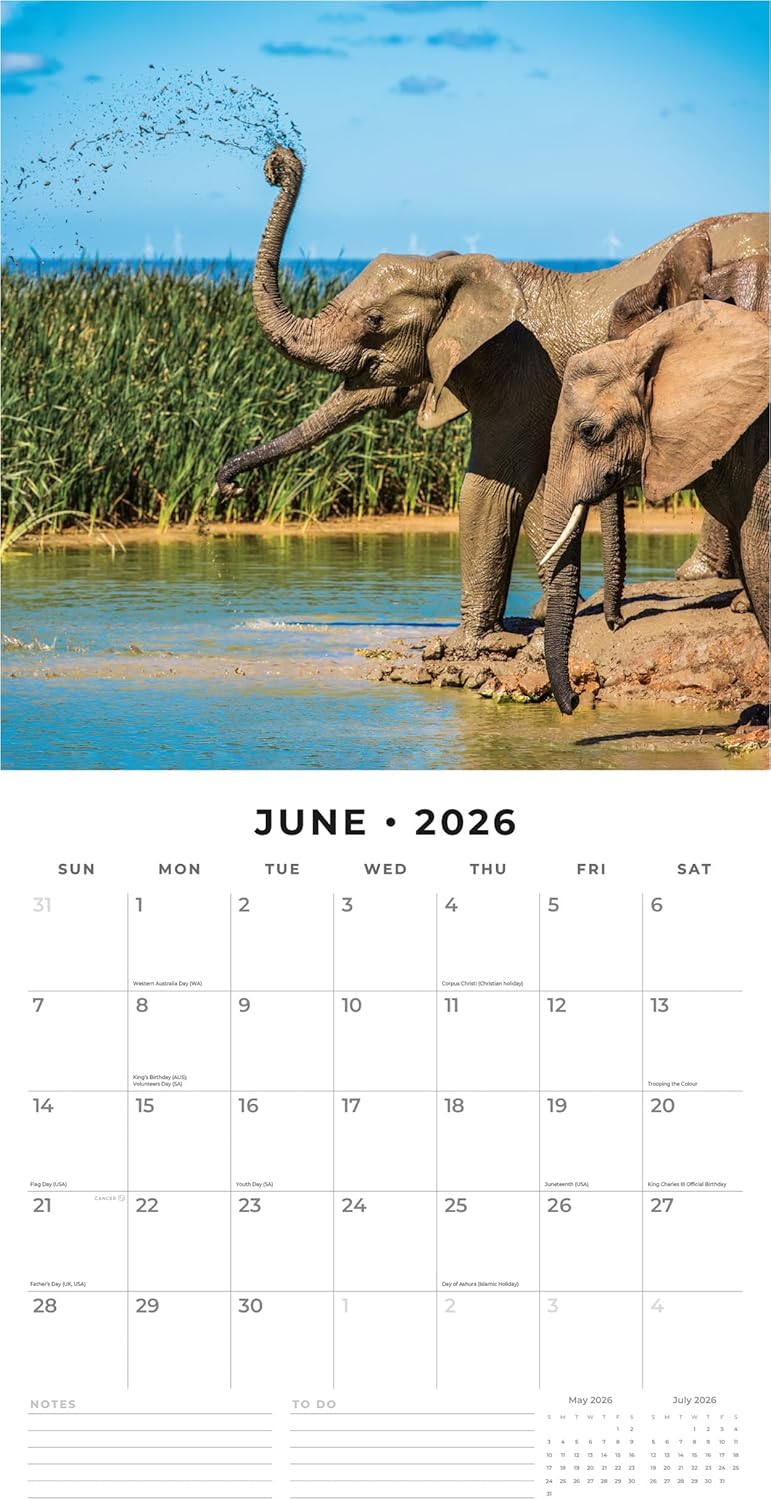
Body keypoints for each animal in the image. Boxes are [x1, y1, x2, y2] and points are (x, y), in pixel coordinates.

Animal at [217, 144, 767, 650]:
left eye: (373, 322)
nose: (277, 163)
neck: (460, 271)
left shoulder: (520, 369)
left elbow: (491, 489)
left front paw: (465, 647)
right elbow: (535, 492)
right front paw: (534, 621)